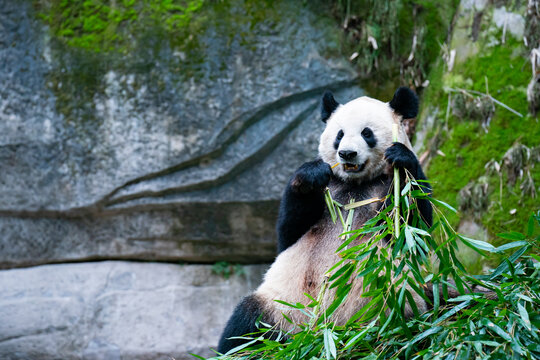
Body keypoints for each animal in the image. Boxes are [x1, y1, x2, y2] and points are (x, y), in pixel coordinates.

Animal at [217, 88, 432, 354]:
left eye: (367, 133)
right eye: (339, 135)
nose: (347, 154)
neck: (356, 184)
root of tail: (322, 337)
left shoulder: (387, 190)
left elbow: (416, 230)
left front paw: (401, 157)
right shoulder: (329, 188)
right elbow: (288, 231)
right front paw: (311, 174)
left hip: (395, 305)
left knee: (404, 329)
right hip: (281, 307)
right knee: (245, 326)